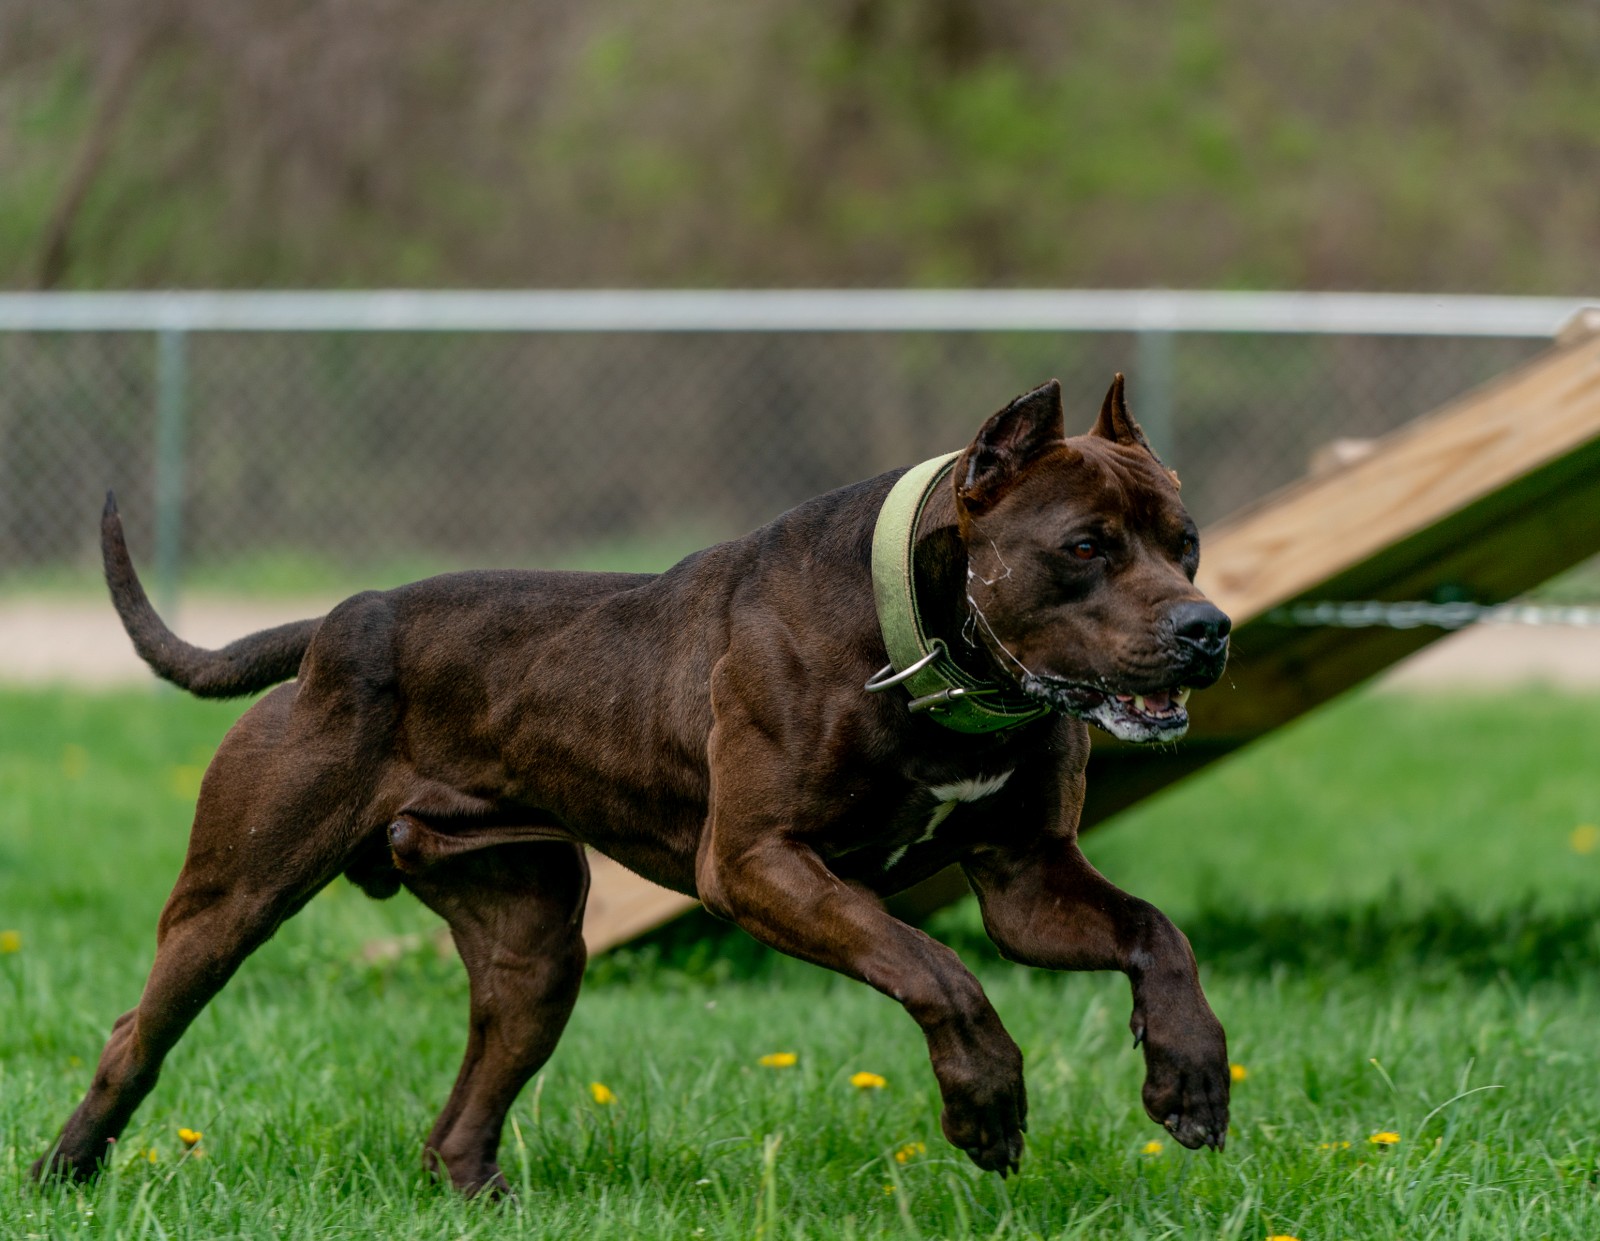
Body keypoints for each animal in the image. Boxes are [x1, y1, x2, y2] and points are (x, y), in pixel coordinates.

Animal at [34, 375, 1235, 1189]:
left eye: (1185, 543)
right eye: (1085, 545)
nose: (1208, 627)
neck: (929, 647)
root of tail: (335, 621)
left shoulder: (1026, 878)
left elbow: (1155, 930)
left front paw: (1190, 1069)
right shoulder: (756, 865)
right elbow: (938, 971)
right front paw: (986, 1100)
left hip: (532, 946)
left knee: (459, 1117)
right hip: (233, 901)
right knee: (134, 1036)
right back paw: (64, 1171)